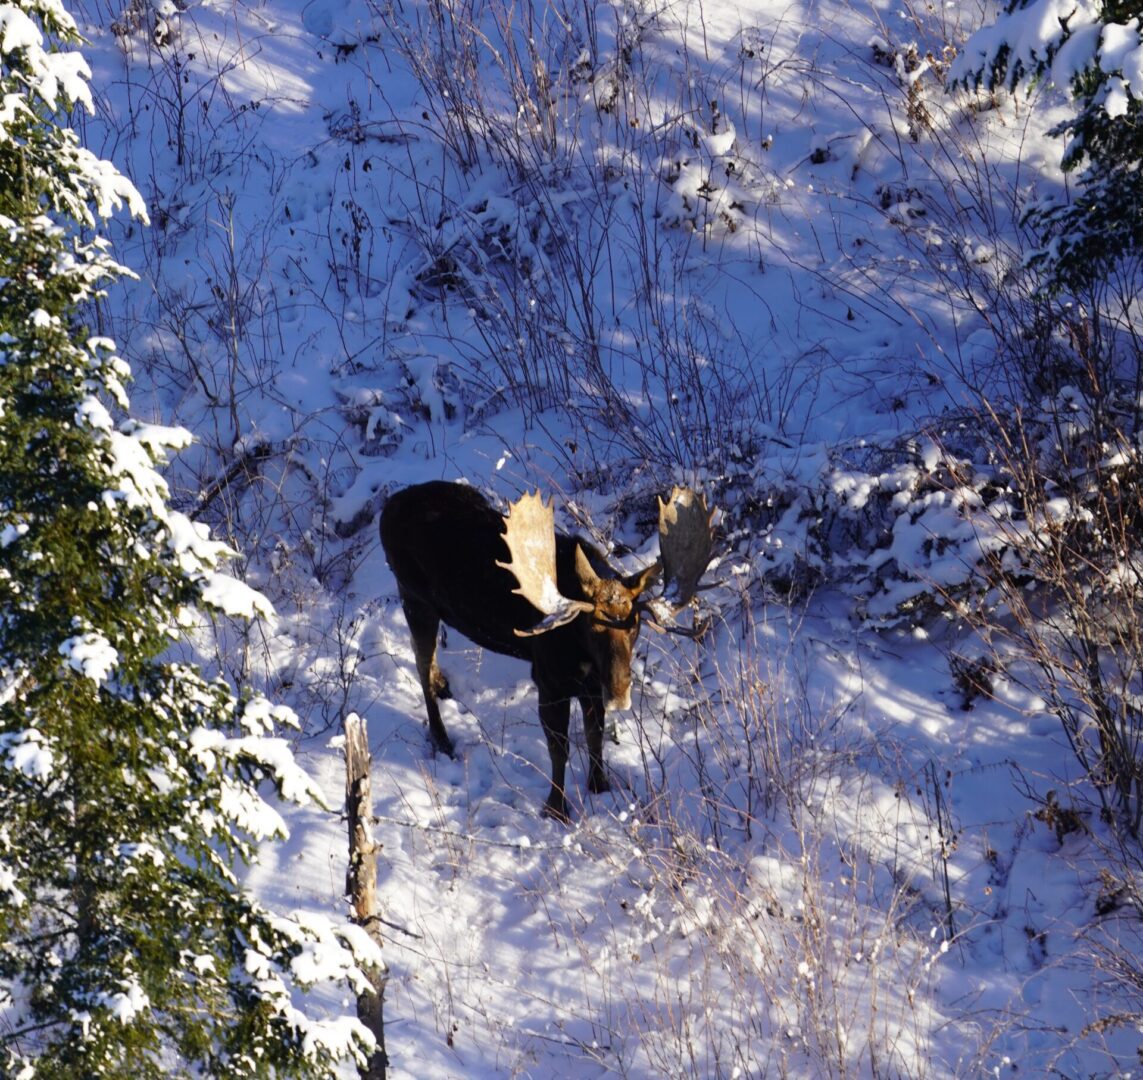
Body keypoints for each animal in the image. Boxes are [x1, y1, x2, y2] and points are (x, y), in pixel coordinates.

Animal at [379, 477, 708, 818]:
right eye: (594, 626)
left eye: (634, 625)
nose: (619, 693)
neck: (582, 651)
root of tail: (387, 509)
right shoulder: (550, 679)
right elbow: (558, 748)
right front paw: (556, 808)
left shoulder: (592, 685)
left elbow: (595, 736)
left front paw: (599, 787)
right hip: (414, 598)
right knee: (420, 663)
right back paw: (442, 740)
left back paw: (444, 685)